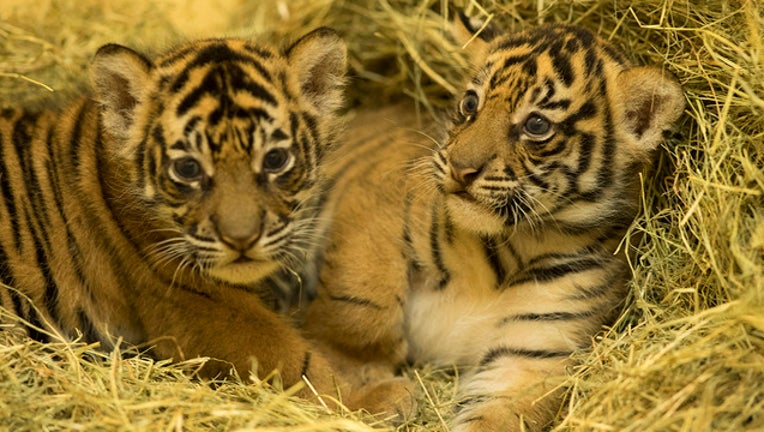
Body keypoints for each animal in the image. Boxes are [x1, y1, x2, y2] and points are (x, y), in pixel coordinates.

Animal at [0, 27, 385, 407]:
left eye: (275, 160)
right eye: (188, 168)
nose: (241, 240)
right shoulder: (201, 308)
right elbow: (297, 363)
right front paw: (374, 400)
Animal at [302, 18, 685, 431]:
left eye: (536, 124)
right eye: (471, 104)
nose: (460, 169)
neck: (511, 247)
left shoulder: (533, 351)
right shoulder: (376, 209)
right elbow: (360, 305)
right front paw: (363, 376)